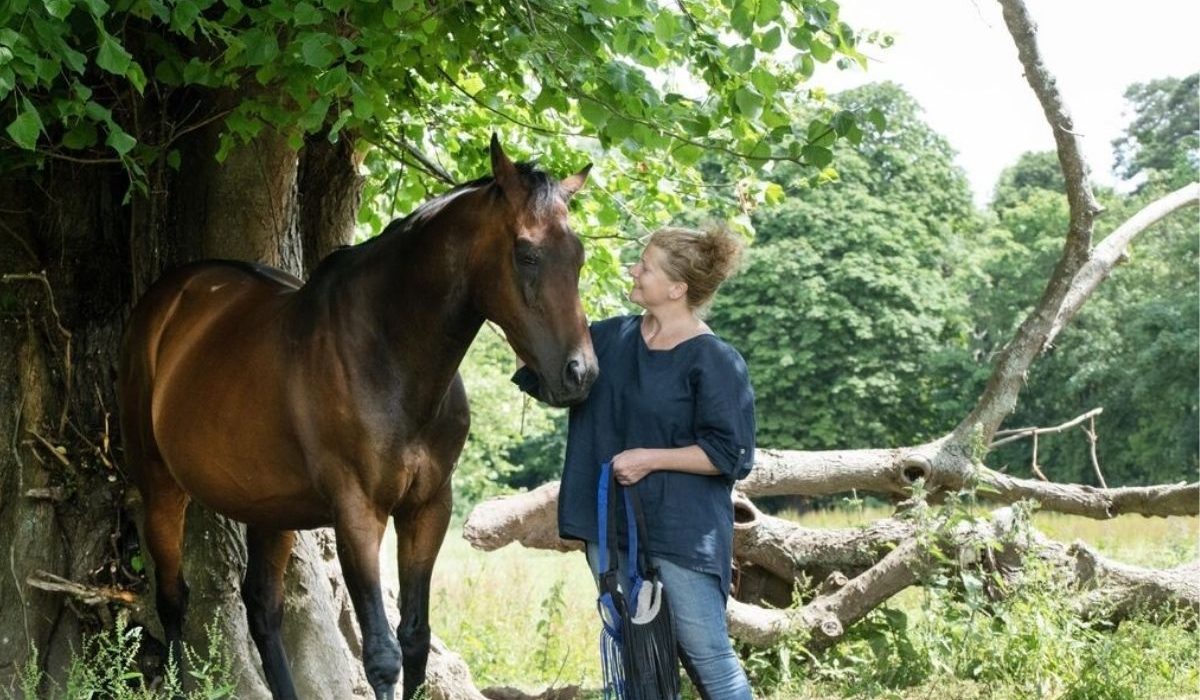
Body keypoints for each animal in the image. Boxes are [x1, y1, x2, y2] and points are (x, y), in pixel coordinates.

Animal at [117, 135, 598, 700]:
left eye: (579, 256)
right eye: (527, 253)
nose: (579, 373)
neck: (389, 352)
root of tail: (168, 298)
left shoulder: (428, 509)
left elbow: (414, 638)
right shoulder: (358, 514)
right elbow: (383, 655)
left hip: (269, 507)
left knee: (263, 608)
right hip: (161, 485)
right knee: (174, 599)